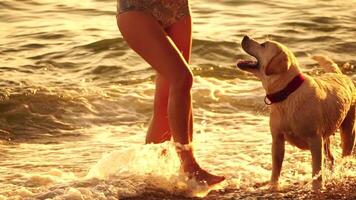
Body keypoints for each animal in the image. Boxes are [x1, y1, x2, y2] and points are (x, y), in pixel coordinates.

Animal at [236, 35, 356, 190]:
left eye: (263, 45)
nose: (245, 36)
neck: (287, 93)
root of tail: (339, 74)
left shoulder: (315, 140)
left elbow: (316, 169)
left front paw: (317, 188)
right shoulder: (277, 140)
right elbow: (276, 169)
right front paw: (273, 186)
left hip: (348, 129)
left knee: (345, 154)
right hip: (327, 136)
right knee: (331, 157)